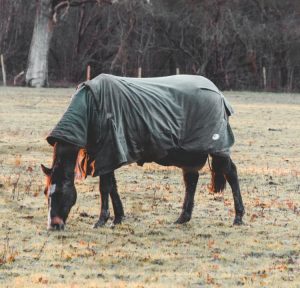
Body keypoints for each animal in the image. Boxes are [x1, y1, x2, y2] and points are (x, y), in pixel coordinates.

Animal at [41, 73, 244, 230]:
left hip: (216, 149)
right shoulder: (107, 156)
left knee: (231, 173)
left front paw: (101, 220)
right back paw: (182, 218)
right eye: (46, 193)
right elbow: (112, 187)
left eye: (60, 193)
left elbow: (104, 187)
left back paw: (238, 217)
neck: (91, 110)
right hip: (189, 152)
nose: (54, 226)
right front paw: (118, 218)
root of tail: (217, 92)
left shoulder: (107, 154)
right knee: (191, 180)